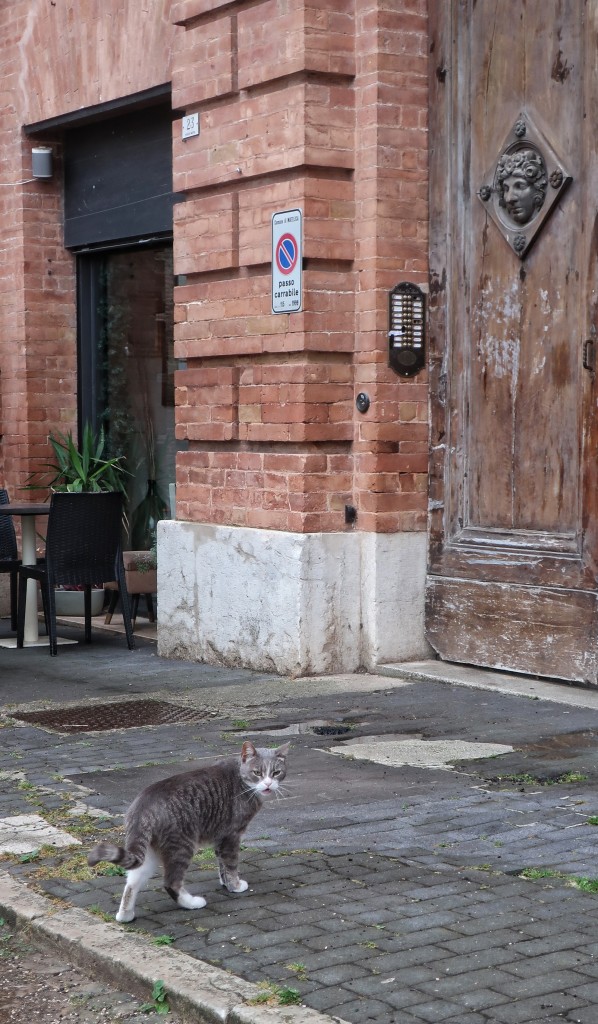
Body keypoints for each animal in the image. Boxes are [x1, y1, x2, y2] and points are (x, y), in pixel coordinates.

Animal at [87, 741, 288, 925]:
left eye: (276, 772)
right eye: (257, 773)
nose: (268, 784)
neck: (240, 779)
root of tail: (142, 807)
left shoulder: (219, 836)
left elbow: (221, 863)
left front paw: (225, 882)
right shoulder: (231, 835)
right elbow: (230, 864)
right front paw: (235, 885)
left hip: (150, 853)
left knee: (132, 883)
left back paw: (125, 915)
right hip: (182, 845)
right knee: (171, 883)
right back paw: (192, 903)